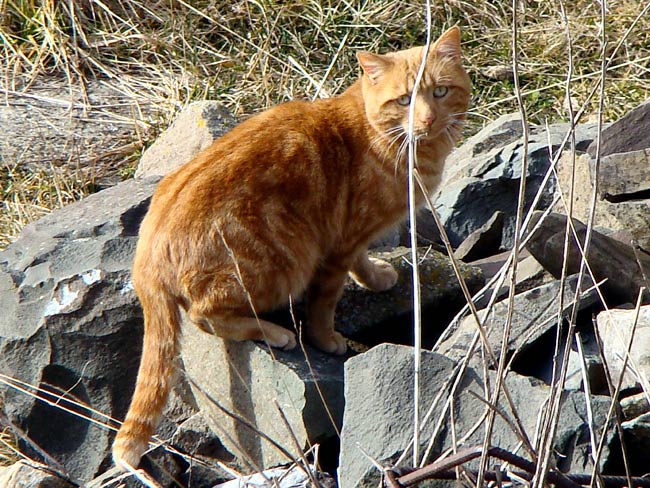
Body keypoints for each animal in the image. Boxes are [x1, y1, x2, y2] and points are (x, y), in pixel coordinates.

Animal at [112, 26, 470, 468]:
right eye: (404, 100)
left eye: (440, 92)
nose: (428, 119)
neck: (383, 136)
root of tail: (145, 255)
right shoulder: (338, 245)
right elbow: (324, 304)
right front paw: (328, 339)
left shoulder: (354, 238)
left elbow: (362, 262)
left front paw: (376, 276)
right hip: (284, 262)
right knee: (203, 315)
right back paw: (274, 333)